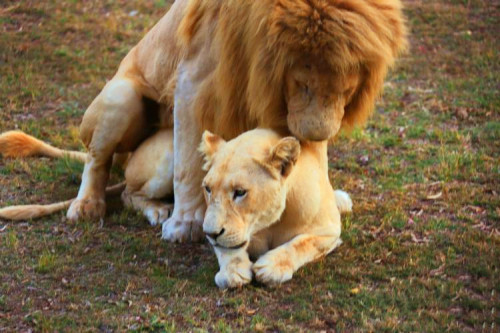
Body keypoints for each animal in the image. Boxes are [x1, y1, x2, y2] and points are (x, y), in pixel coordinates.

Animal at [26, 0, 406, 240]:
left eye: (347, 90)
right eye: (303, 84)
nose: (313, 133)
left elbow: (314, 159)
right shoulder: (194, 79)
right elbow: (189, 166)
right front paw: (185, 224)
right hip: (122, 97)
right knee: (104, 167)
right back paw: (94, 206)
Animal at [198, 128, 352, 286]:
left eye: (240, 192)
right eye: (208, 189)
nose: (211, 233)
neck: (269, 223)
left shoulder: (329, 231)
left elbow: (302, 243)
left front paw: (271, 268)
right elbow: (225, 249)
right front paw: (232, 273)